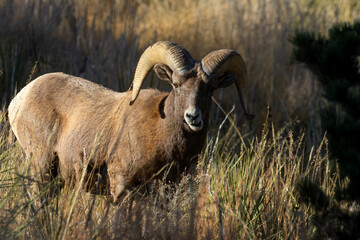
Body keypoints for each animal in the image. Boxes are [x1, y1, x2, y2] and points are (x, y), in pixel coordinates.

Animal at [6, 41, 253, 202]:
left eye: (210, 89)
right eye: (175, 84)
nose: (193, 117)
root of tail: (19, 100)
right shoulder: (121, 188)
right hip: (41, 167)